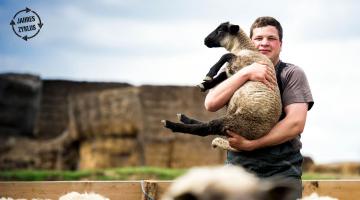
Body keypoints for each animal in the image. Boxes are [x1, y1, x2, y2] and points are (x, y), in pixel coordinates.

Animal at [162, 21, 282, 151]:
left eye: (220, 31)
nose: (205, 40)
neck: (246, 48)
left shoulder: (241, 64)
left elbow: (225, 55)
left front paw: (209, 74)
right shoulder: (232, 71)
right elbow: (222, 74)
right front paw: (204, 84)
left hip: (236, 123)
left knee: (207, 128)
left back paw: (171, 124)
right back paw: (183, 118)